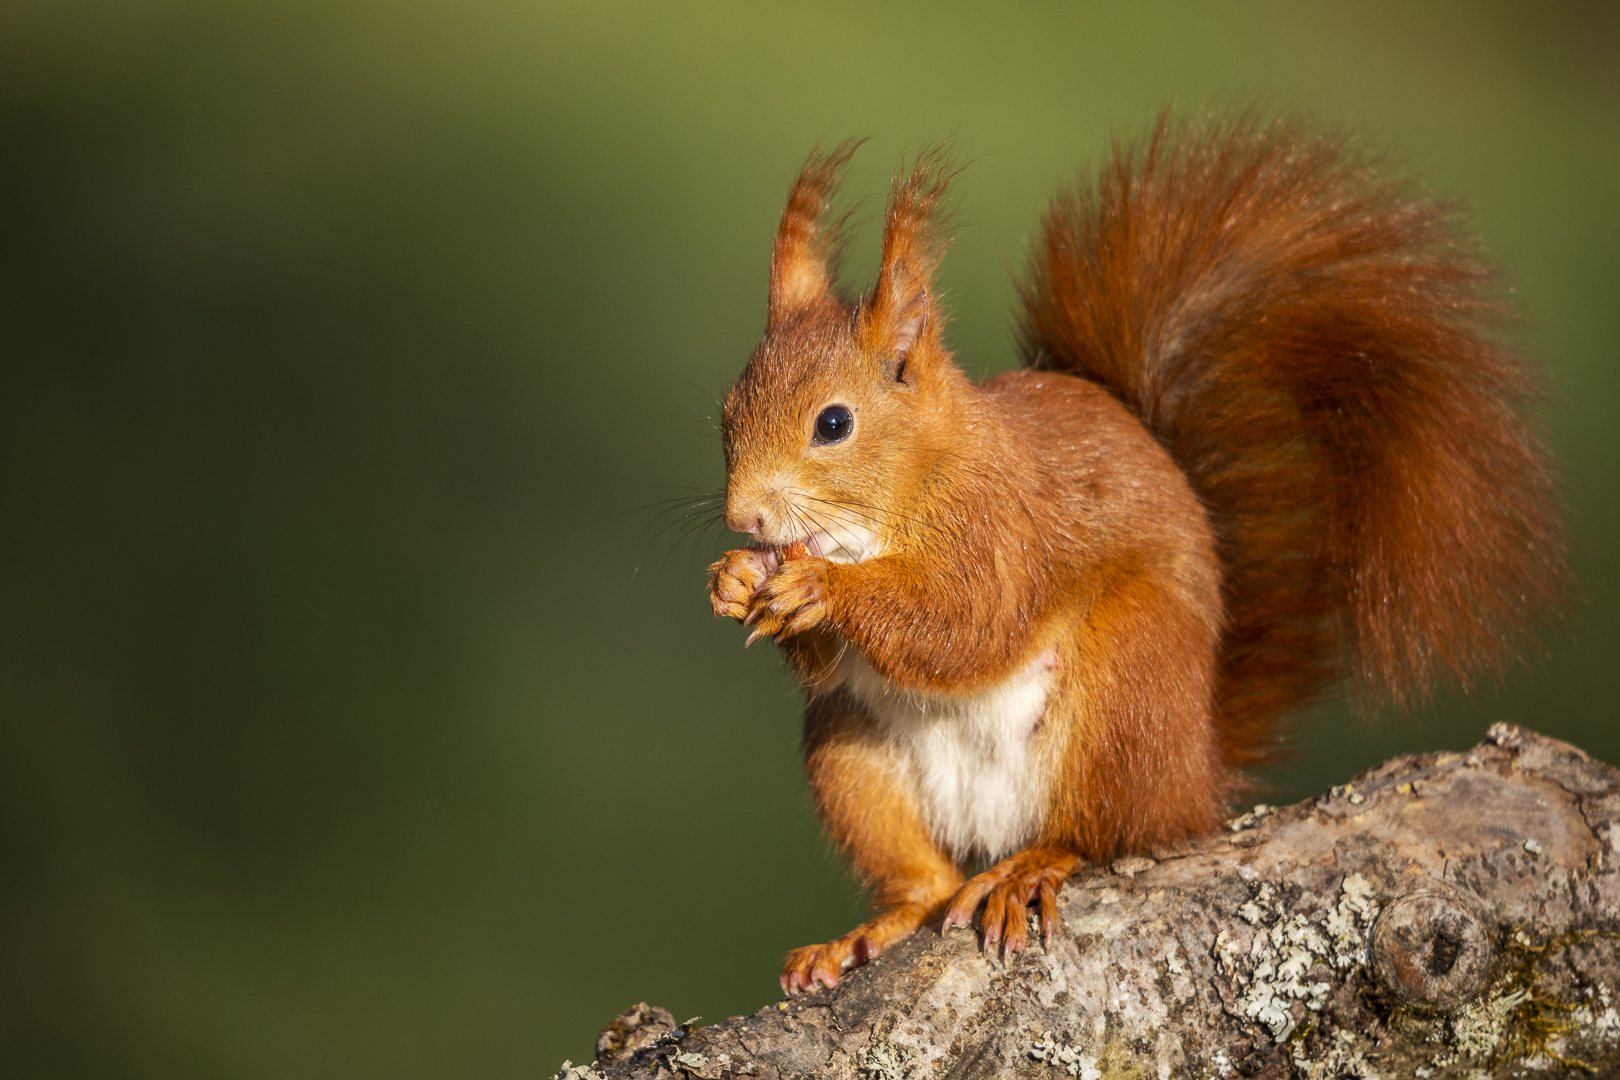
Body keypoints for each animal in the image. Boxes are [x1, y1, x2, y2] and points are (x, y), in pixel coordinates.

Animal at [703, 111, 1561, 997]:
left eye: (833, 423)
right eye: (725, 412)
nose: (743, 515)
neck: (908, 489)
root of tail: (1195, 778)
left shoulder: (1002, 529)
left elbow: (964, 624)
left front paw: (821, 588)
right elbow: (832, 661)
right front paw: (735, 580)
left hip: (1127, 683)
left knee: (1101, 833)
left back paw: (1030, 868)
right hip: (853, 761)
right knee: (925, 879)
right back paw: (876, 927)